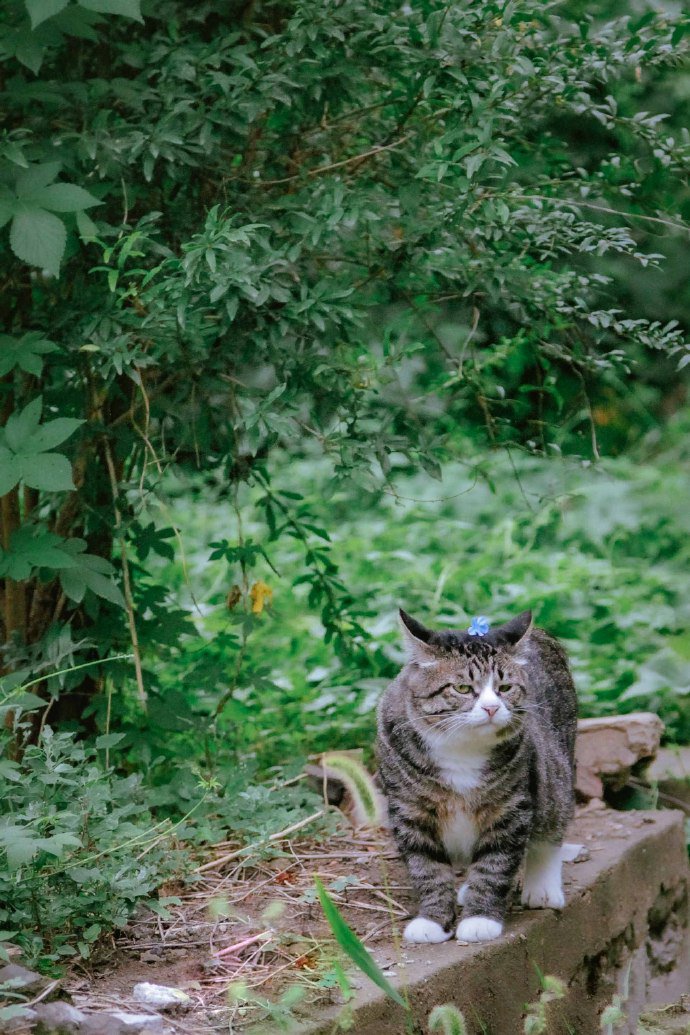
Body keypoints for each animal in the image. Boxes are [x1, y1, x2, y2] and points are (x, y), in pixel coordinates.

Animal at [378, 608, 579, 943]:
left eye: (505, 688)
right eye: (461, 688)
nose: (491, 707)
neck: (461, 748)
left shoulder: (510, 807)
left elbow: (495, 864)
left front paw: (480, 918)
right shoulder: (409, 810)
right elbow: (426, 867)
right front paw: (432, 920)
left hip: (557, 772)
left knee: (553, 822)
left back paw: (542, 888)